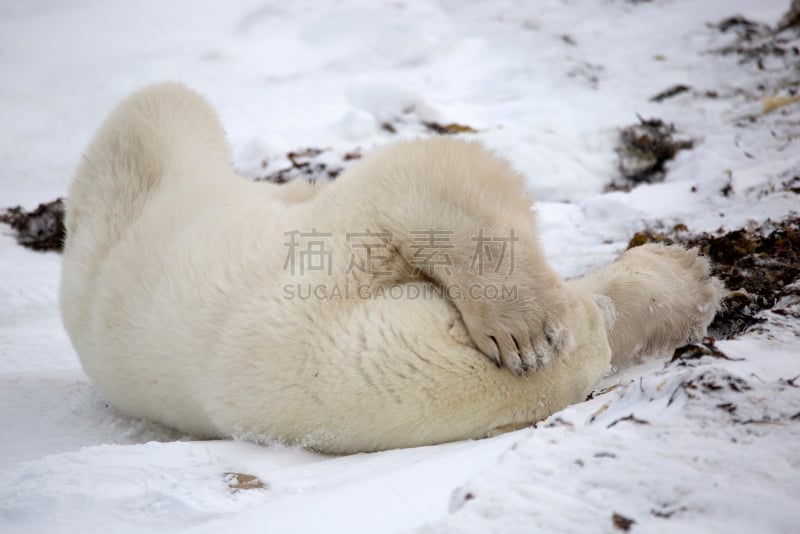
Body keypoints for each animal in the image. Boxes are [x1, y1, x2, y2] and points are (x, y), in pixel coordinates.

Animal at [61, 86, 724, 454]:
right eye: (593, 326)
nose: (577, 323)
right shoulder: (307, 294)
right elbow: (420, 172)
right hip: (140, 176)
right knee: (159, 109)